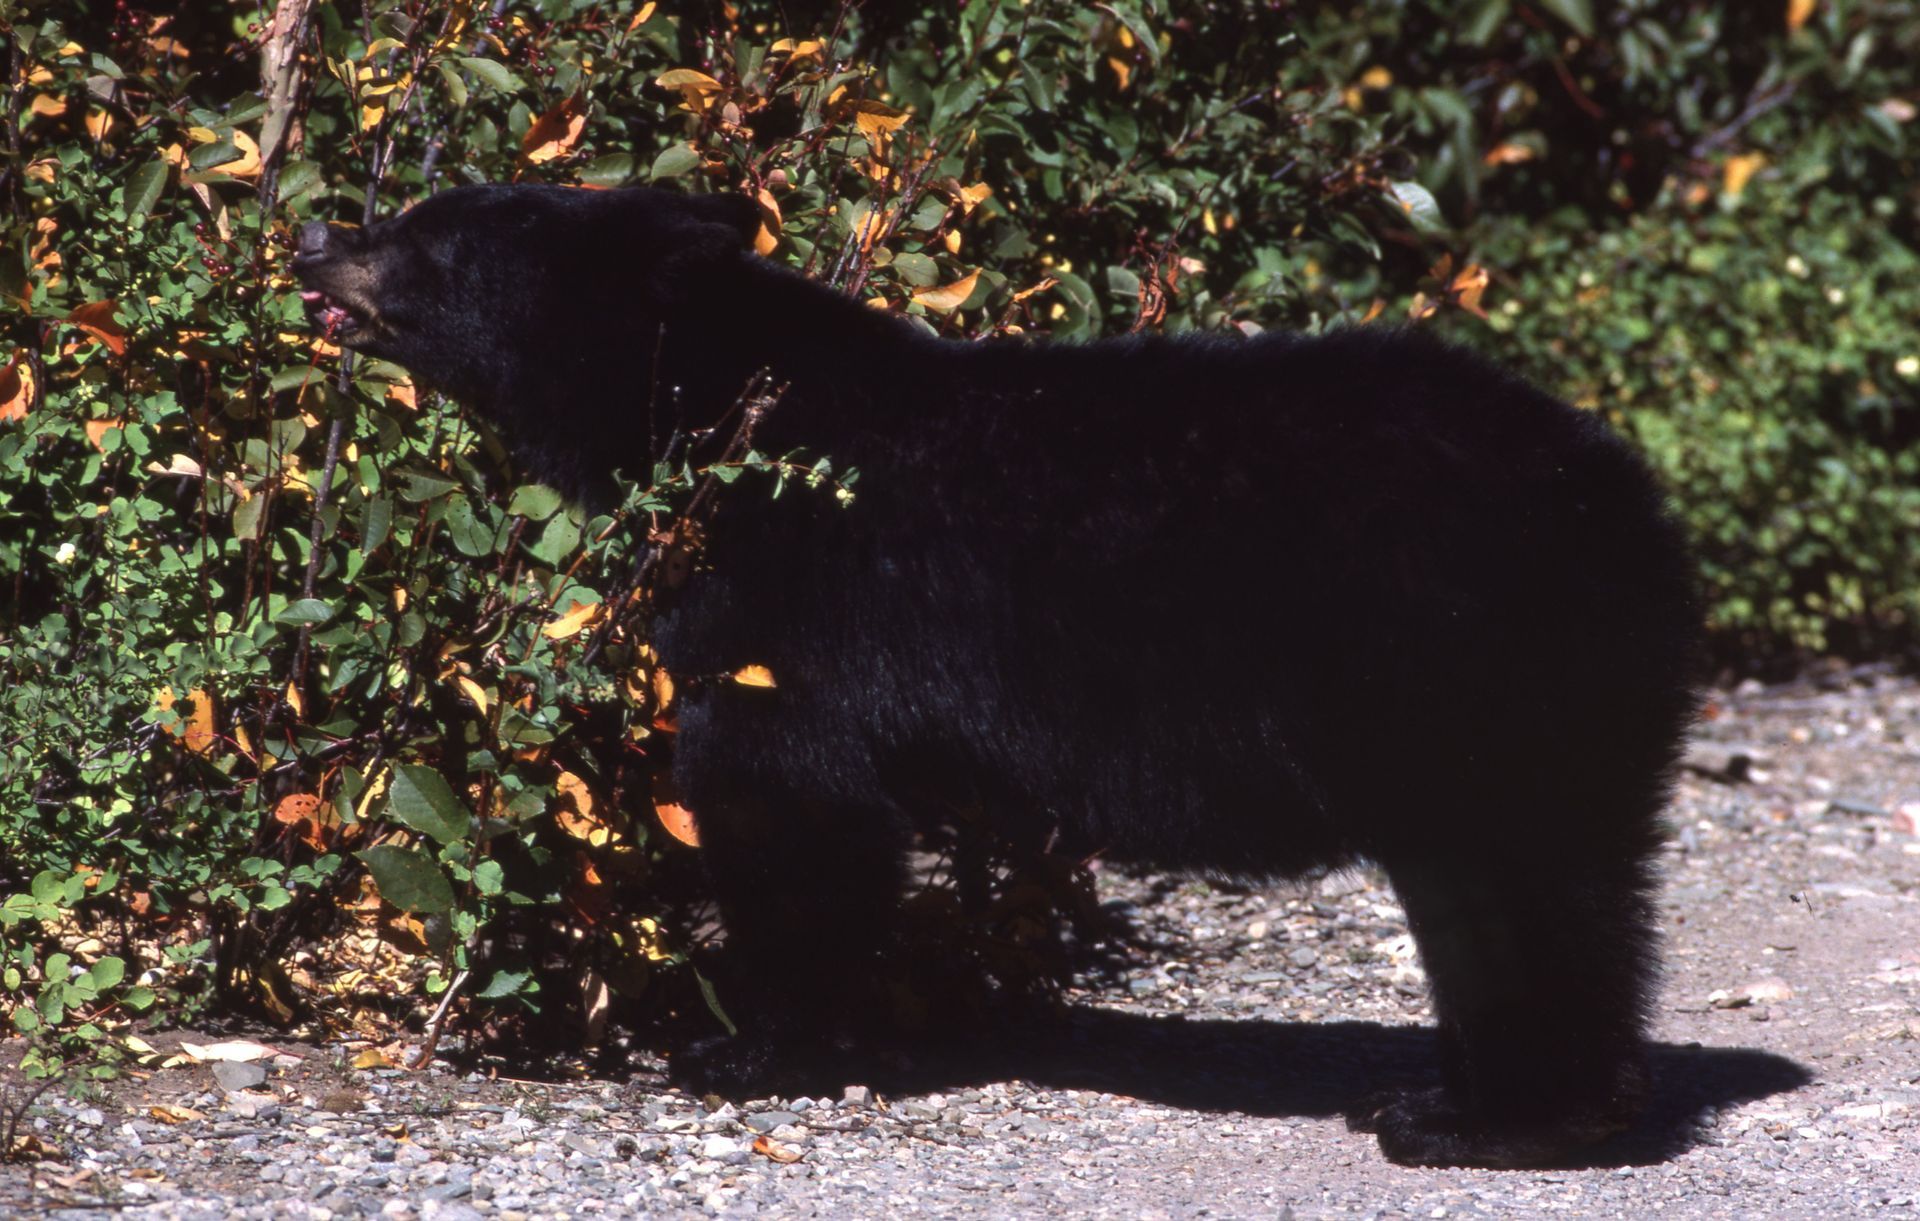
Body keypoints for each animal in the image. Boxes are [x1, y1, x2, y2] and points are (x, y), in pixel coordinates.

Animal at [292, 184, 1700, 1168]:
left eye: (429, 236)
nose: (312, 235)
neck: (719, 412)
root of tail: (1626, 504)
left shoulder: (794, 601)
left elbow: (785, 798)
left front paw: (751, 1045)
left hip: (1463, 671)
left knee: (1511, 886)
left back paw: (1495, 1121)